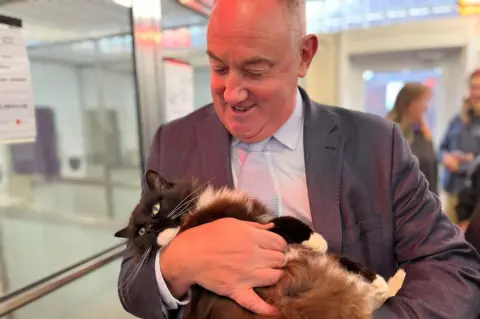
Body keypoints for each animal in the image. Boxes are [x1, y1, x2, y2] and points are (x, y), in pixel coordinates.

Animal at [115, 171, 390, 319]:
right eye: (141, 232)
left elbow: (341, 257)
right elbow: (284, 223)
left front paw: (379, 283)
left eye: (156, 207)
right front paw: (316, 240)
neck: (191, 219)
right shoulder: (249, 226)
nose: (153, 228)